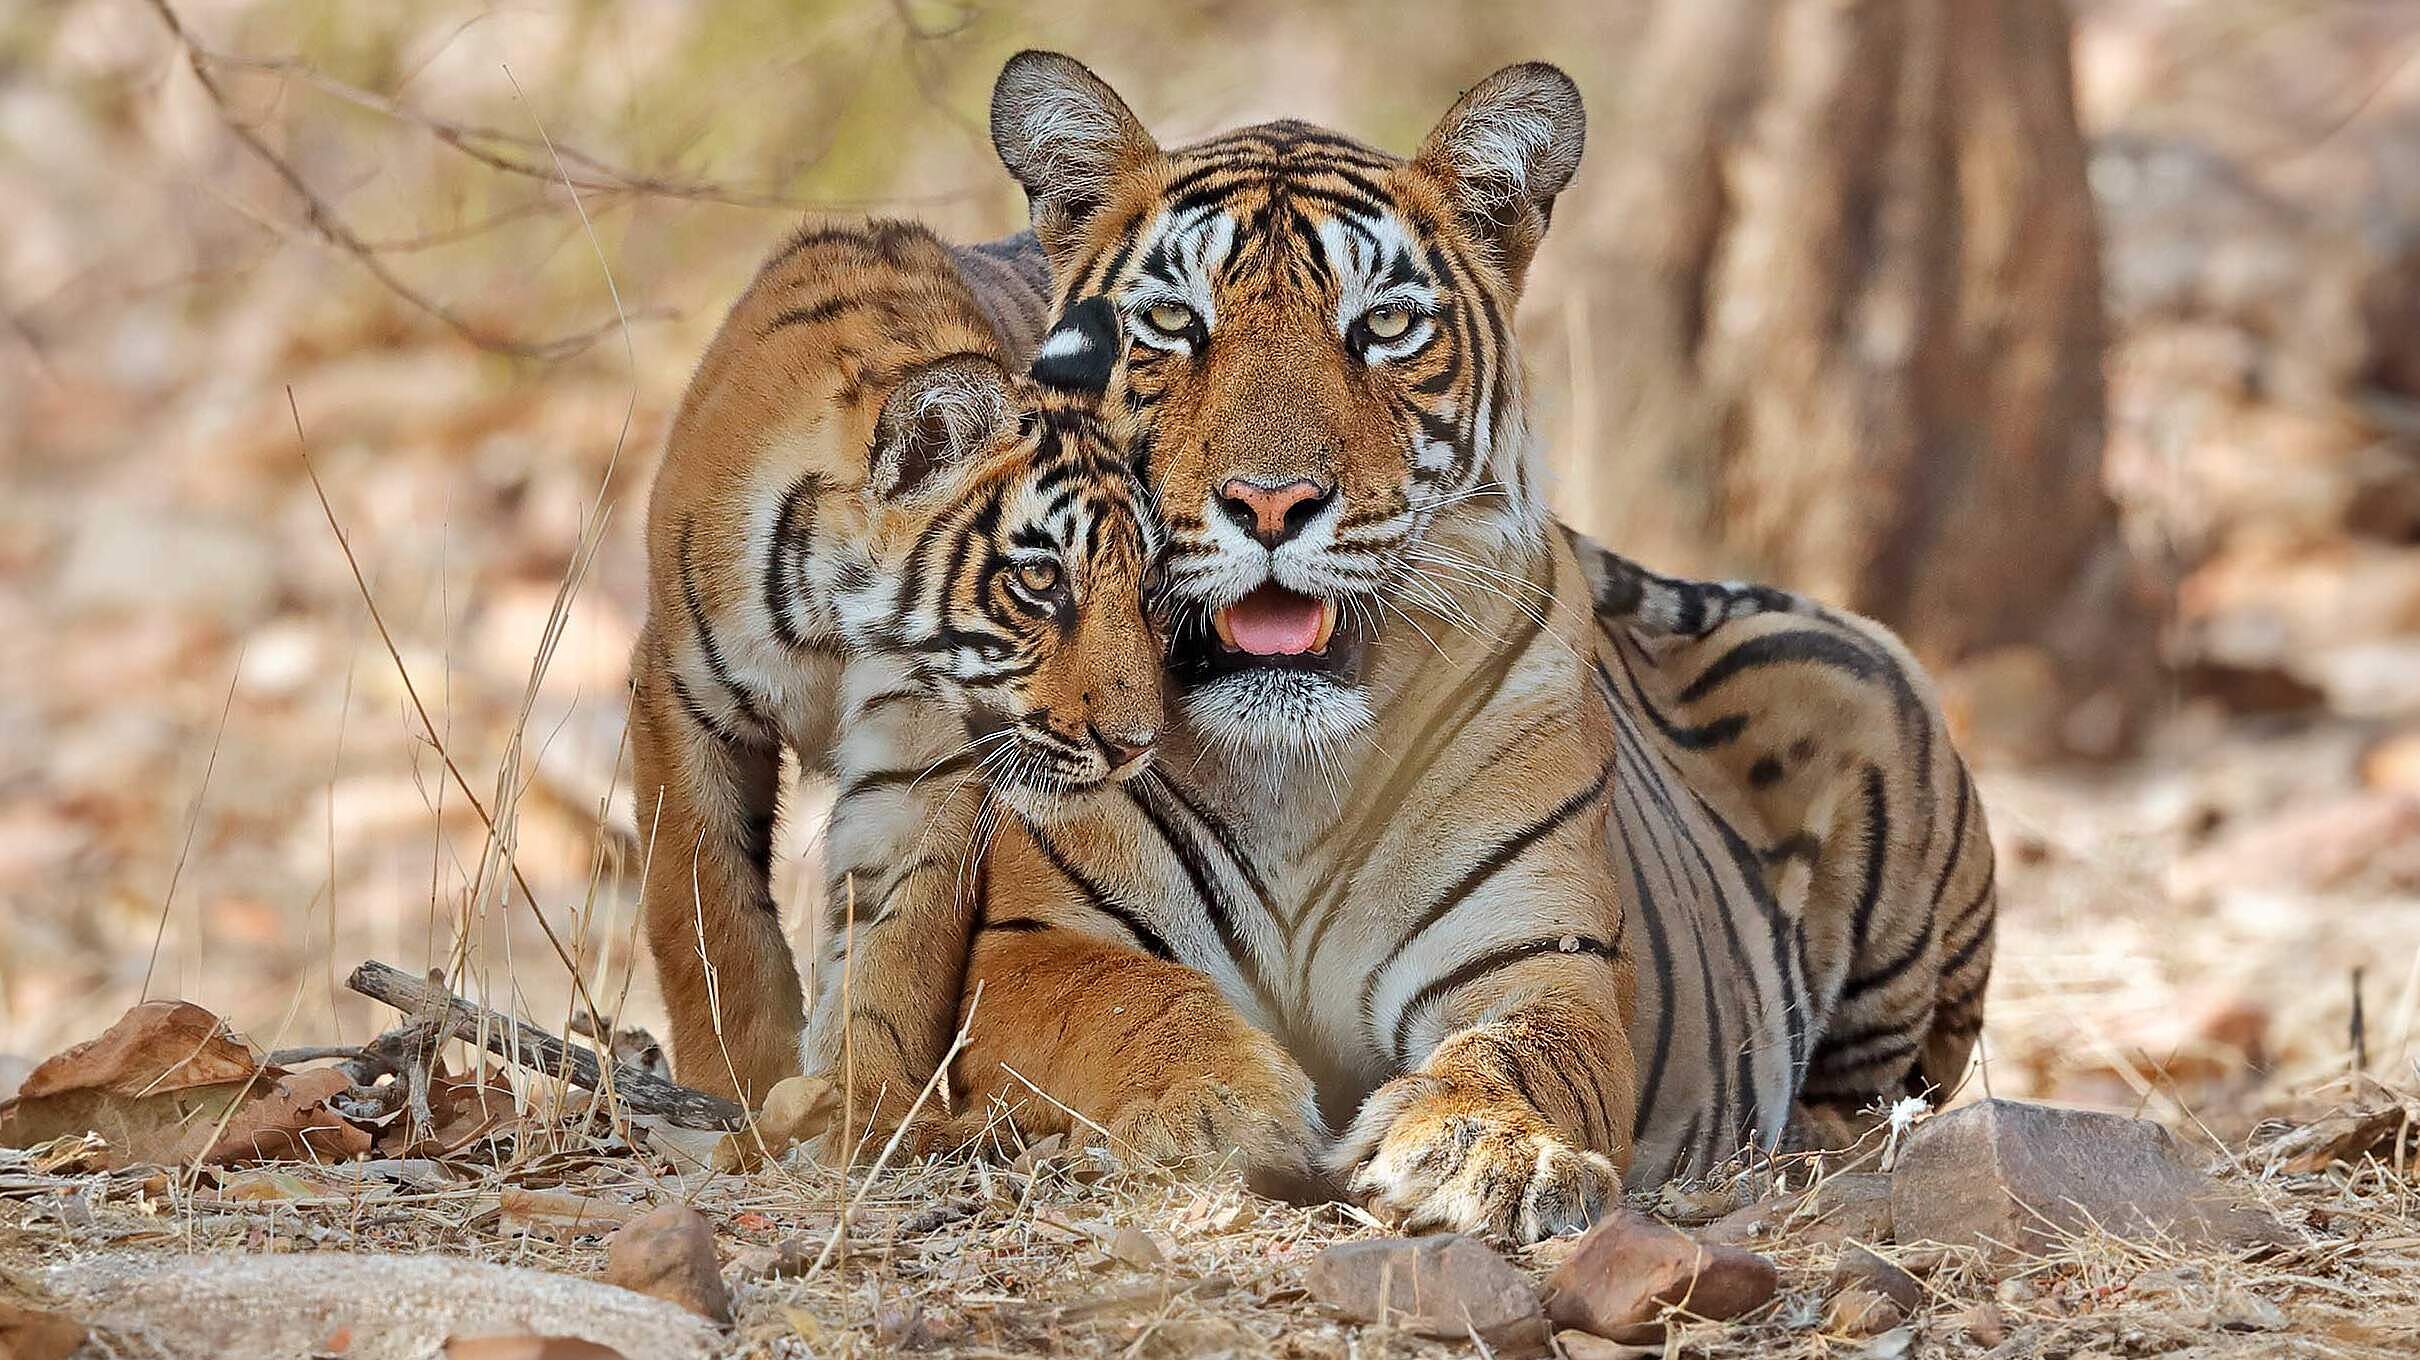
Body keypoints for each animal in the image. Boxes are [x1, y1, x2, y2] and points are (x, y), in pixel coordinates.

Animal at [627, 217, 1172, 1116]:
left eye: (1150, 588)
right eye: (1040, 579)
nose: (1133, 747)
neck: (834, 627)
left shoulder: (925, 758)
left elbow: (896, 945)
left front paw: (863, 1107)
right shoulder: (681, 698)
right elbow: (705, 910)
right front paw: (737, 1085)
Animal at [837, 52, 1997, 1243]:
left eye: (1386, 325)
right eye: (1168, 319)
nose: (1271, 501)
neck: (1288, 772)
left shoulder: (1538, 955)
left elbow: (1521, 1052)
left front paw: (1481, 1148)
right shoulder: (1038, 945)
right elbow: (1126, 1006)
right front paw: (1213, 1108)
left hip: (1871, 697)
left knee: (1885, 1092)